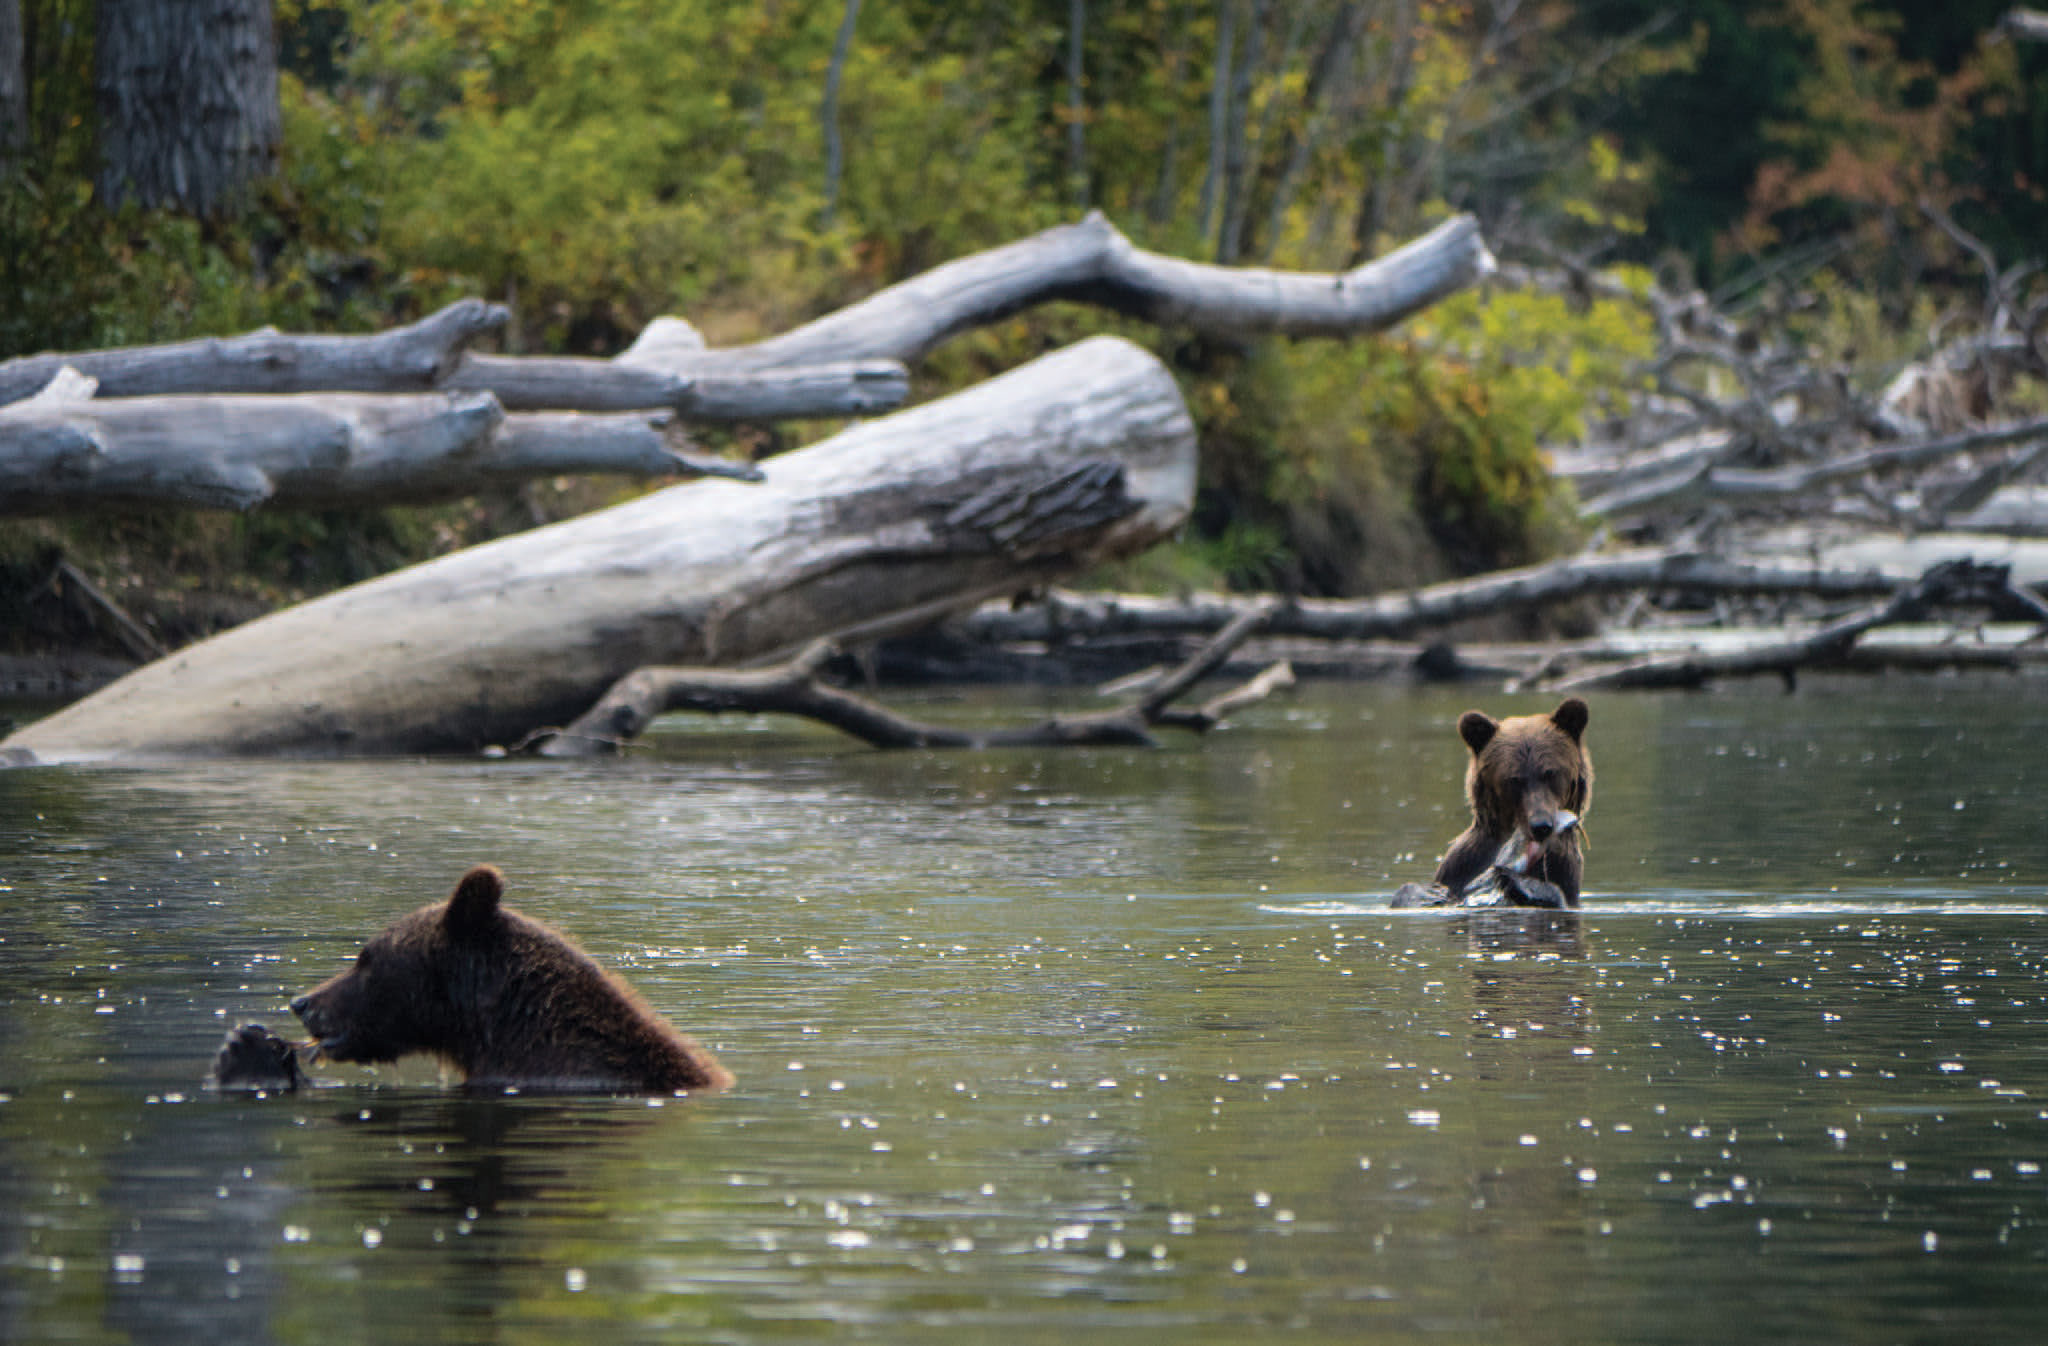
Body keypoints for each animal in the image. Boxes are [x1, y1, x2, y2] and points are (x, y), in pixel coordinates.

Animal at [1384, 696, 1589, 909]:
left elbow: (1556, 895)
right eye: (1514, 779)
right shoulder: (1465, 865)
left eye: (1550, 773)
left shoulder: (1561, 871)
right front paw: (1427, 893)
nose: (1541, 826)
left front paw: (1523, 883)